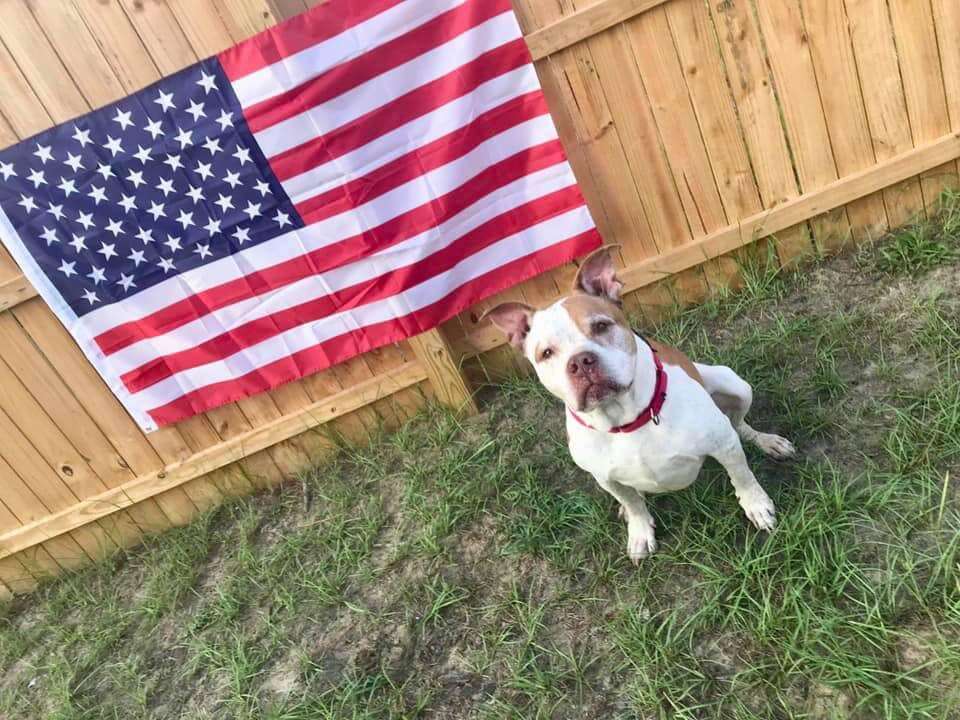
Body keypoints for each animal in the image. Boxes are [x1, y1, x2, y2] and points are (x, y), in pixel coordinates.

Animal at [480, 248, 796, 564]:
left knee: (739, 424)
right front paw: (640, 530)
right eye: (546, 353)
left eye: (601, 326)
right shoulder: (605, 478)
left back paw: (768, 442)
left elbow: (742, 477)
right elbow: (632, 503)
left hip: (735, 384)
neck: (624, 419)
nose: (580, 361)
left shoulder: (723, 444)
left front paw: (756, 505)